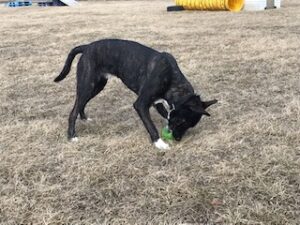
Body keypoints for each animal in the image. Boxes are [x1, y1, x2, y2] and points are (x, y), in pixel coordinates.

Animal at [54, 39, 218, 150]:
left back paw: (84, 118)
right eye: (182, 121)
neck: (172, 77)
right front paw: (159, 143)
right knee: (74, 110)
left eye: (188, 125)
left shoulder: (158, 103)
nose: (177, 139)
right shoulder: (141, 104)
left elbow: (166, 114)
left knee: (81, 103)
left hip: (96, 86)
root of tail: (87, 47)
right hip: (87, 86)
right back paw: (72, 135)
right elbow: (151, 125)